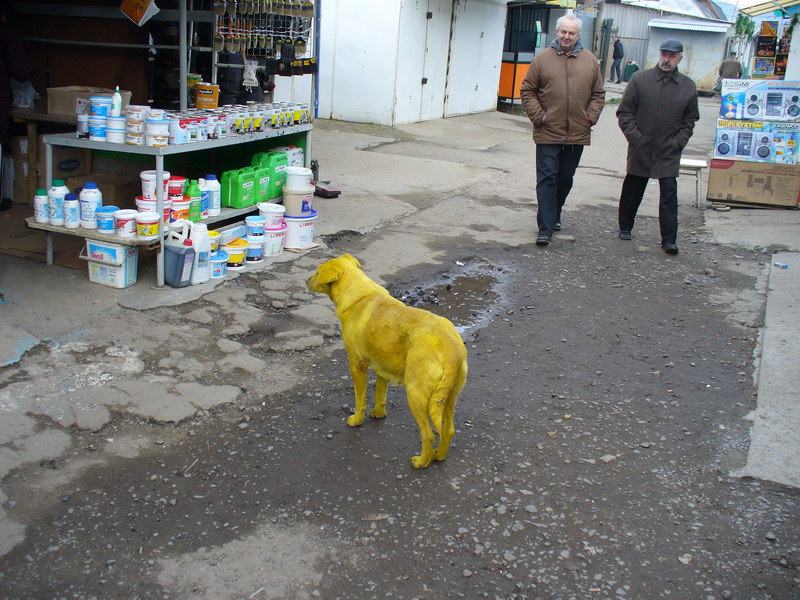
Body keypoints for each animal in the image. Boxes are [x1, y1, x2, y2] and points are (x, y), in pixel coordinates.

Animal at [308, 253, 468, 468]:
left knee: (428, 435)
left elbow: (360, 399)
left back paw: (422, 461)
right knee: (448, 430)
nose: (306, 281)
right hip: (448, 397)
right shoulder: (382, 366)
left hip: (416, 393)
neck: (358, 295)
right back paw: (439, 456)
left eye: (317, 272)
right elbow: (380, 394)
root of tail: (453, 349)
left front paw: (357, 419)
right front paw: (378, 413)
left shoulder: (356, 364)